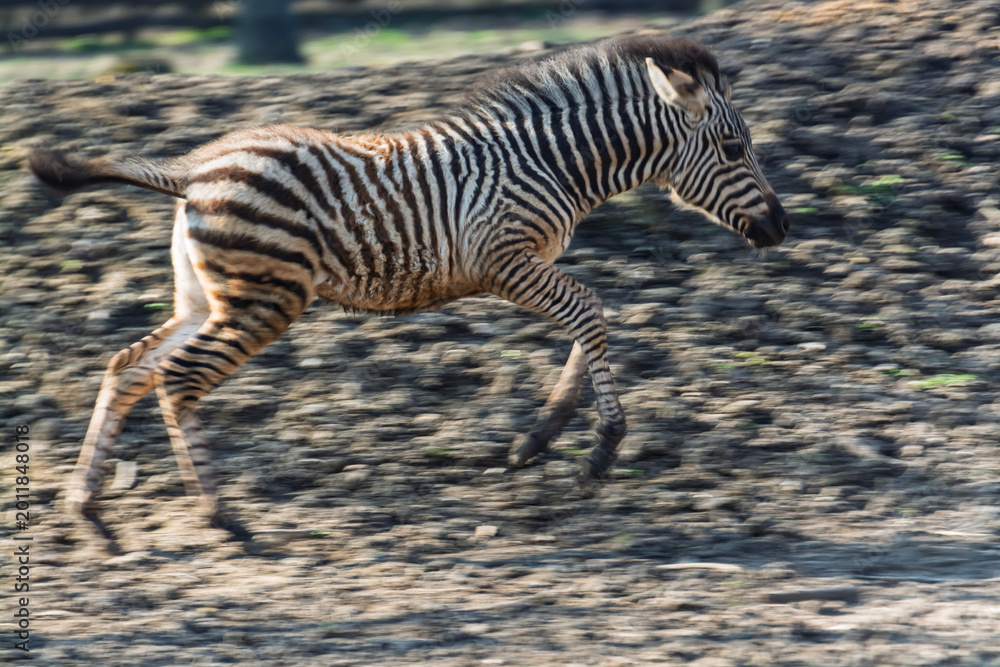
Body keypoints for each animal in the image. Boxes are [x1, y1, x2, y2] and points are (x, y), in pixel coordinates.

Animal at [30, 35, 787, 540]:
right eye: (733, 150)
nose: (782, 227)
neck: (554, 165)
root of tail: (193, 172)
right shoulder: (502, 258)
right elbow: (591, 312)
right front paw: (602, 447)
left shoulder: (533, 261)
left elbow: (588, 320)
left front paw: (537, 439)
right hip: (263, 299)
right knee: (177, 380)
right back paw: (221, 516)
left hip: (206, 298)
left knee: (128, 368)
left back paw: (87, 505)